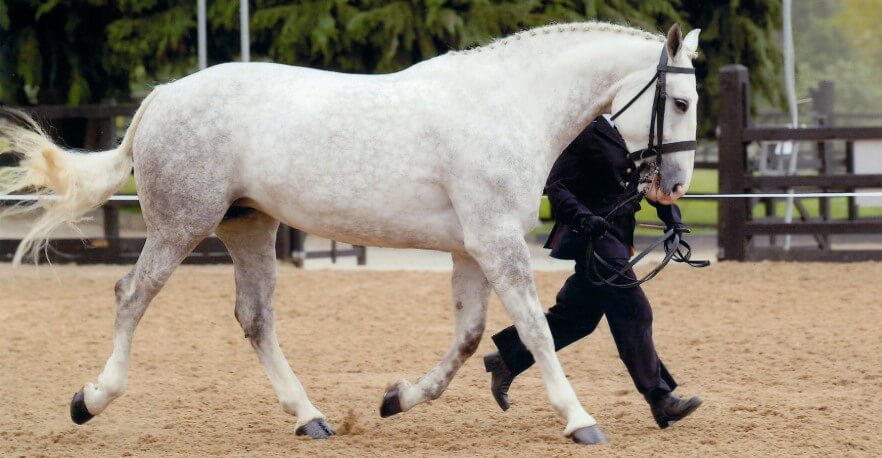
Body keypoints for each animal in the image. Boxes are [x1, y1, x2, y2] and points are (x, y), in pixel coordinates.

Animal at [1, 22, 700, 448]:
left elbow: (471, 337)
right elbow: (534, 328)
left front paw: (398, 398)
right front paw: (580, 421)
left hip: (249, 228)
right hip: (181, 226)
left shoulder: (472, 249)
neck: (509, 106)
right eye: (682, 102)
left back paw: (310, 418)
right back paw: (91, 400)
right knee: (131, 296)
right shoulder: (497, 241)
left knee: (255, 318)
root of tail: (163, 96)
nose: (673, 186)